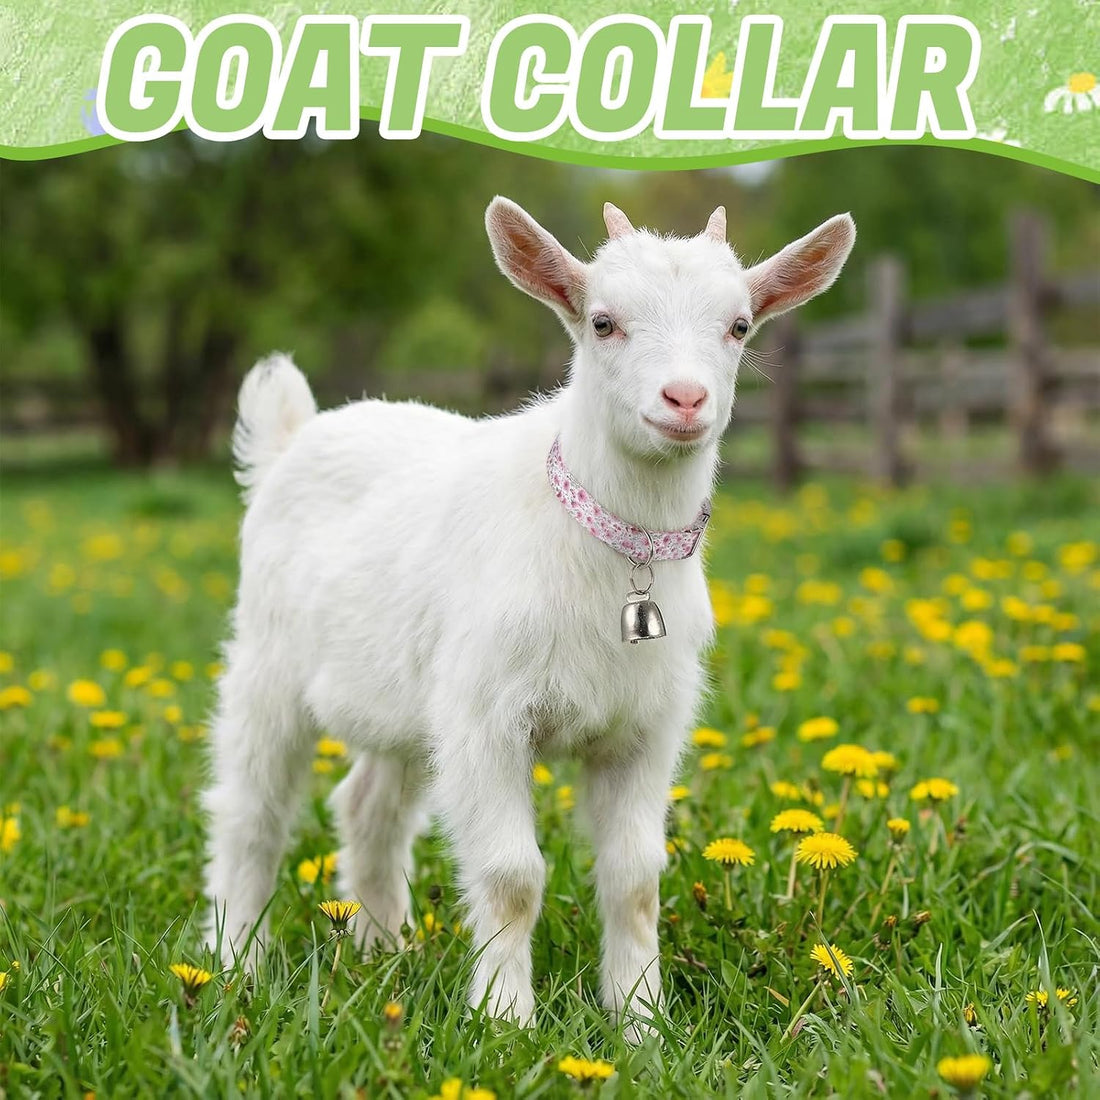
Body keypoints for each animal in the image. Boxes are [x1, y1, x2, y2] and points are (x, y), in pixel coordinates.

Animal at [202, 197, 855, 1036]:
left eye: (739, 326)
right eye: (603, 321)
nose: (685, 400)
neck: (610, 556)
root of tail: (291, 441)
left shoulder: (645, 728)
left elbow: (634, 877)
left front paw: (641, 1023)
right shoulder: (487, 719)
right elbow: (512, 875)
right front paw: (504, 1021)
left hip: (408, 704)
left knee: (369, 807)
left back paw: (384, 950)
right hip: (267, 665)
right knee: (251, 812)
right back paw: (235, 960)